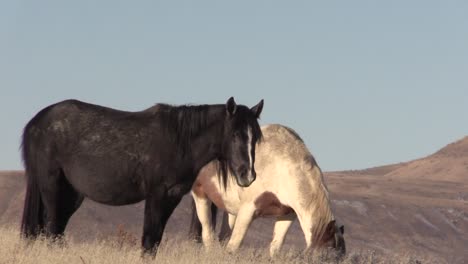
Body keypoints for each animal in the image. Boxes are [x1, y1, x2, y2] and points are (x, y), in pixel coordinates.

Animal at [21, 96, 264, 254]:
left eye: (255, 137)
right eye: (235, 134)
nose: (248, 175)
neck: (179, 142)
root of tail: (37, 121)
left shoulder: (171, 198)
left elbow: (154, 241)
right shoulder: (156, 196)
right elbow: (148, 240)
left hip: (71, 195)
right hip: (51, 187)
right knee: (52, 228)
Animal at [188, 124, 346, 258]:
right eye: (327, 256)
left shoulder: (287, 214)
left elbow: (275, 246)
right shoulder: (248, 209)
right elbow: (234, 245)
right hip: (200, 195)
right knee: (207, 233)